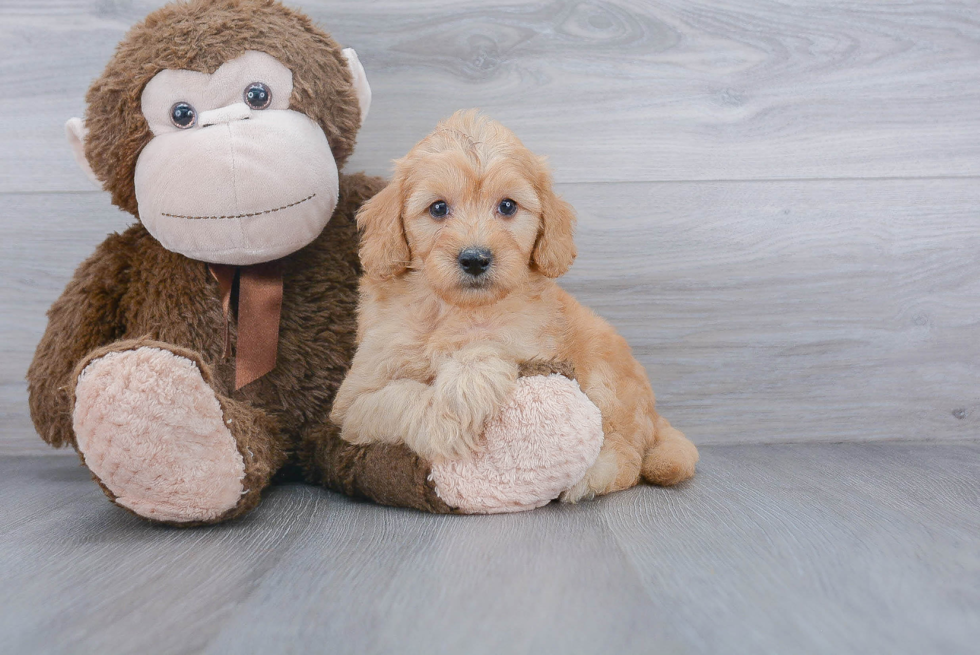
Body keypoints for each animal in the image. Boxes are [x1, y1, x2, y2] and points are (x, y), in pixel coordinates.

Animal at [334, 110, 700, 500]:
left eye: (507, 206)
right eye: (438, 208)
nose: (475, 259)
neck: (454, 308)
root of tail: (655, 414)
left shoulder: (534, 343)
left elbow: (490, 343)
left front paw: (466, 383)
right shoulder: (352, 401)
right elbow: (398, 397)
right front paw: (448, 416)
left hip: (605, 373)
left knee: (627, 455)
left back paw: (591, 476)